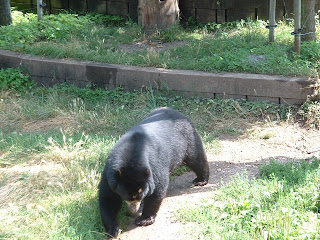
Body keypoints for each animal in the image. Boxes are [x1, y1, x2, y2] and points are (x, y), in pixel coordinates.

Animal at [99, 108, 209, 238]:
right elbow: (108, 198)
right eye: (126, 195)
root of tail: (176, 111)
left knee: (196, 159)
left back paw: (201, 180)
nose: (134, 210)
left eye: (141, 193)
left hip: (188, 140)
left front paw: (144, 220)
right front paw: (113, 230)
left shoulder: (155, 168)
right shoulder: (109, 174)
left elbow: (157, 191)